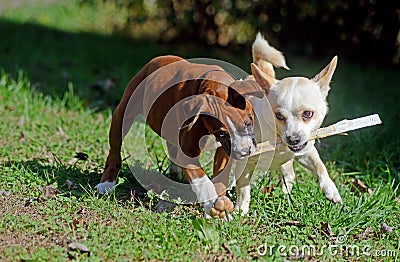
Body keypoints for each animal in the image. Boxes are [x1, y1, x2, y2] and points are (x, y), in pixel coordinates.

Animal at [94, 55, 262, 219]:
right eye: (222, 133)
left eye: (248, 122)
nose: (244, 151)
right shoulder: (189, 153)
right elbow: (203, 181)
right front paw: (212, 205)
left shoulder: (223, 152)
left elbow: (220, 180)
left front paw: (221, 210)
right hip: (122, 115)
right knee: (114, 150)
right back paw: (106, 183)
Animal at [234, 34, 344, 215]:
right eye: (278, 116)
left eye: (307, 114)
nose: (293, 139)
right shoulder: (245, 164)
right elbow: (243, 189)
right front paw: (239, 212)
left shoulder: (306, 152)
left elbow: (320, 167)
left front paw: (331, 190)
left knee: (289, 175)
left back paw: (285, 196)